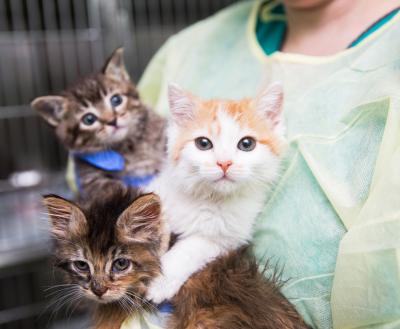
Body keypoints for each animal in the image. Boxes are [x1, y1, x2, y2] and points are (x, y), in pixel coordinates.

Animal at [30, 48, 166, 197]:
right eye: (89, 119)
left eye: (116, 100)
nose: (112, 121)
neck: (127, 146)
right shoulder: (89, 177)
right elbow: (112, 191)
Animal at [147, 82, 284, 302]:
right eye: (203, 143)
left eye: (247, 144)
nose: (224, 163)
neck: (208, 197)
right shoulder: (159, 187)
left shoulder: (229, 237)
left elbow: (191, 248)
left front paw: (160, 281)